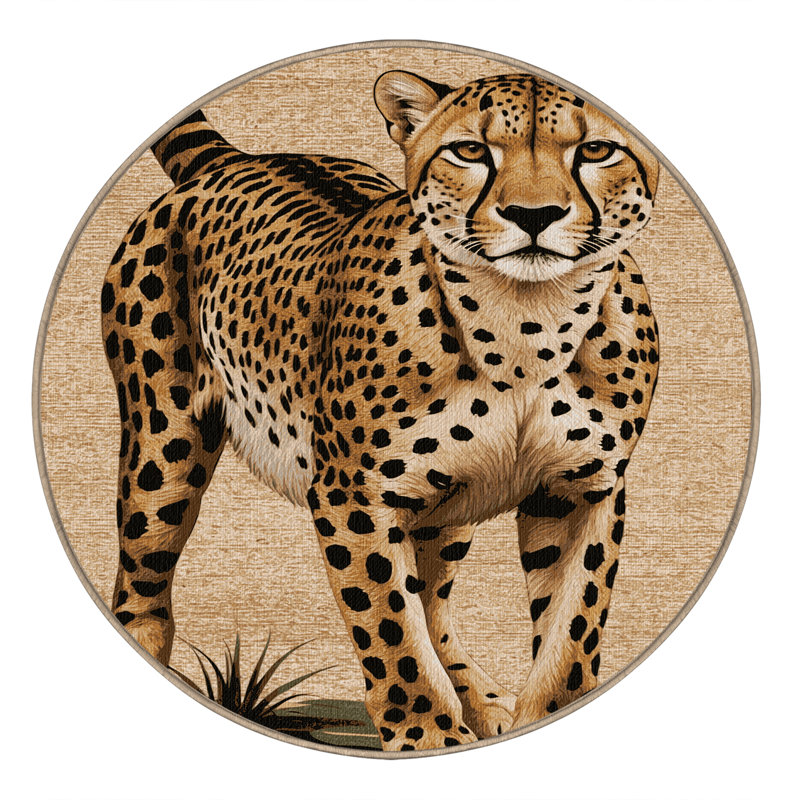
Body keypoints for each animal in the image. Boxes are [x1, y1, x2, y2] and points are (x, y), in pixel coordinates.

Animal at [101, 69, 659, 752]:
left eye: (597, 151)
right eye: (470, 151)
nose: (534, 215)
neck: (526, 323)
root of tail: (238, 158)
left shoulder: (581, 490)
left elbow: (571, 630)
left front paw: (547, 712)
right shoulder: (354, 497)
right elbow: (392, 631)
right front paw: (429, 739)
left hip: (447, 505)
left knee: (434, 599)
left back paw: (479, 700)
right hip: (165, 443)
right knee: (143, 575)